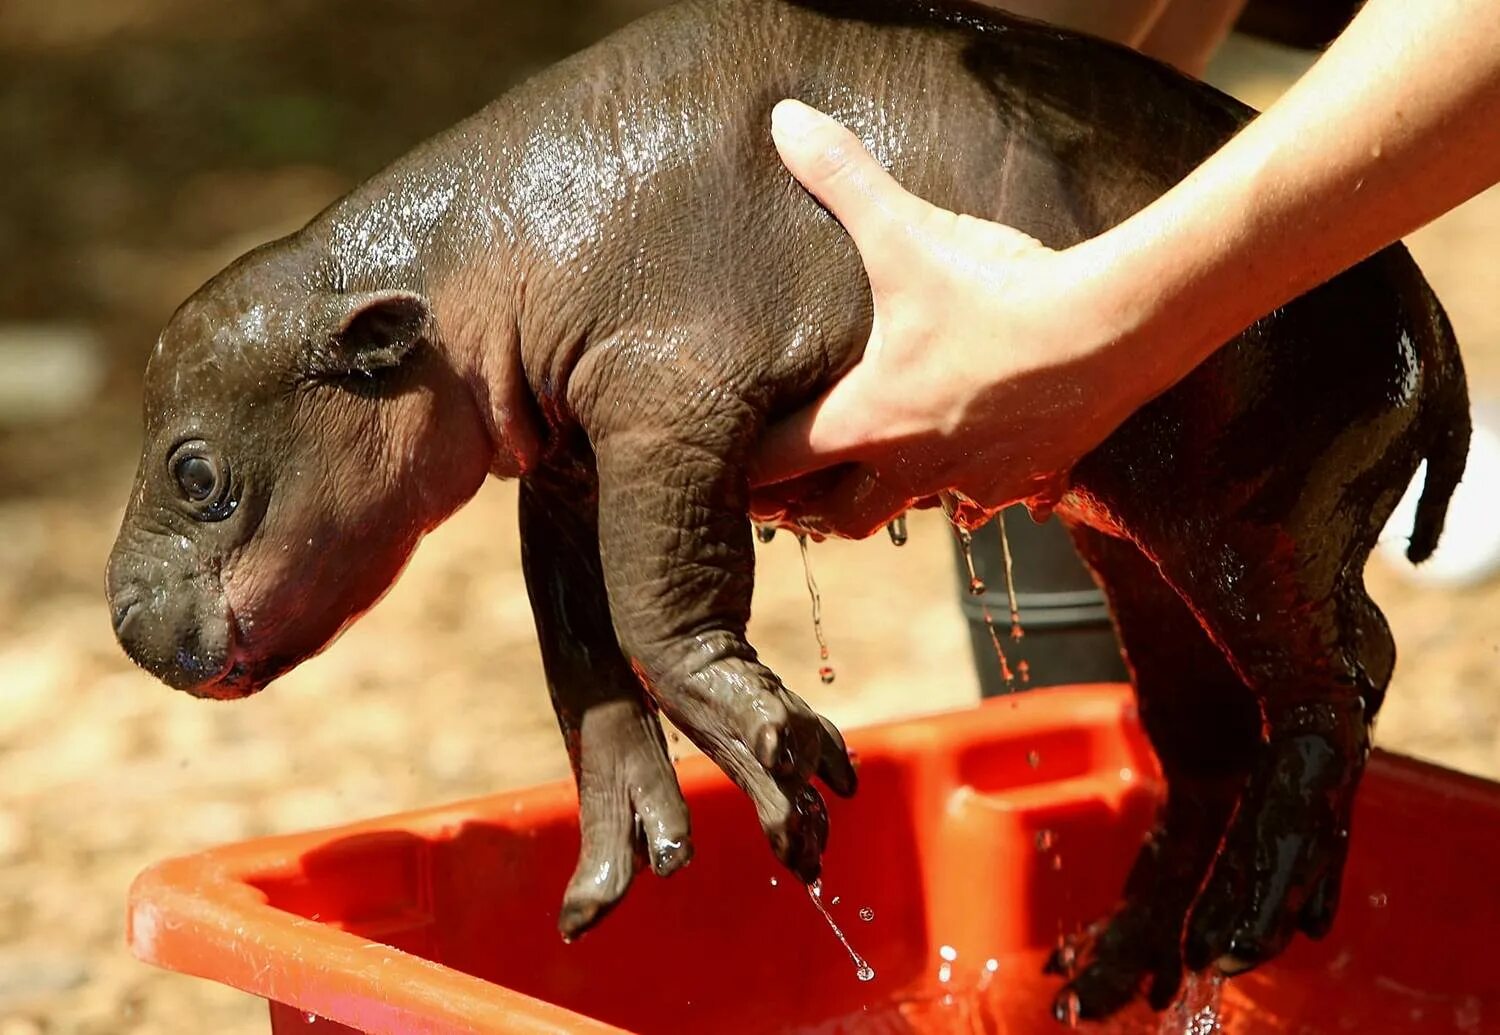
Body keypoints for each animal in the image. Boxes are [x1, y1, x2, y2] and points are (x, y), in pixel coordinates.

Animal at [105, 0, 1464, 1014]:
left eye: (195, 472)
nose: (118, 618)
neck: (464, 259)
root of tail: (1431, 305)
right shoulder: (577, 454)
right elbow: (580, 641)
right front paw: (629, 851)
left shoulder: (671, 398)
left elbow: (657, 609)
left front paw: (784, 766)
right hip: (1143, 538)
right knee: (1235, 722)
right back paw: (1128, 965)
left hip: (1244, 524)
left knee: (1326, 690)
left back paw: (1248, 916)